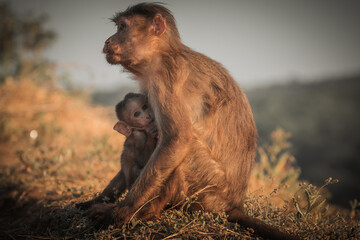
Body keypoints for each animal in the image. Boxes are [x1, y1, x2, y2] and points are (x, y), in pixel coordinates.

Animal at [90, 2, 298, 240]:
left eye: (122, 27)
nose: (108, 41)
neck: (163, 54)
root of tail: (234, 205)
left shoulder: (165, 78)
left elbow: (177, 139)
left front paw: (121, 212)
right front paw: (97, 200)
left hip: (208, 190)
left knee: (184, 147)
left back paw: (148, 213)